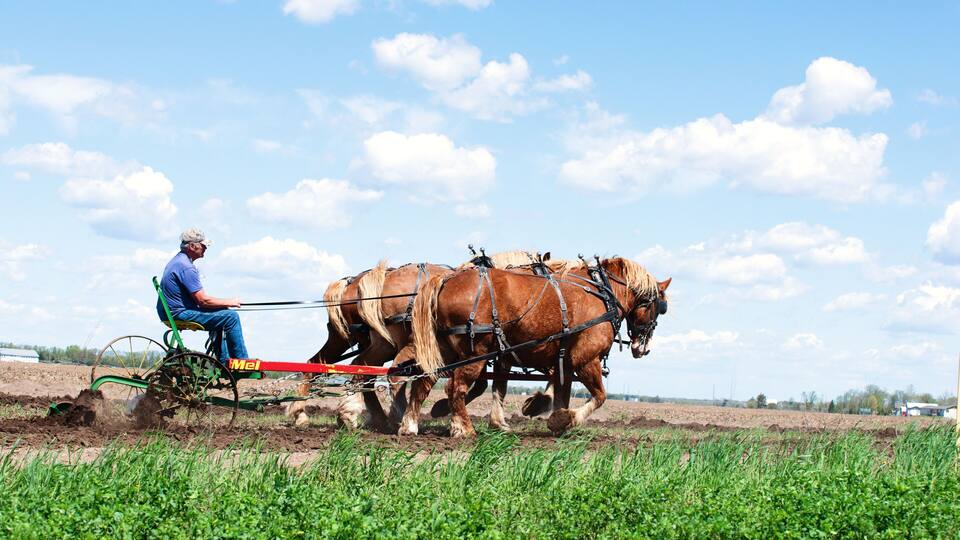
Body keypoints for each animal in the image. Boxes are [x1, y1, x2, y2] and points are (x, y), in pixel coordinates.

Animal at [396, 257, 671, 437]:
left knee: (424, 382)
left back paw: (410, 425)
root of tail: (446, 279)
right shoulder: (585, 360)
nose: (643, 347)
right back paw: (463, 428)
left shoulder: (561, 362)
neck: (602, 294)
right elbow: (599, 397)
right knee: (456, 387)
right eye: (660, 306)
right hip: (476, 352)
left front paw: (552, 419)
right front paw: (564, 420)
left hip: (443, 349)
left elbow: (555, 393)